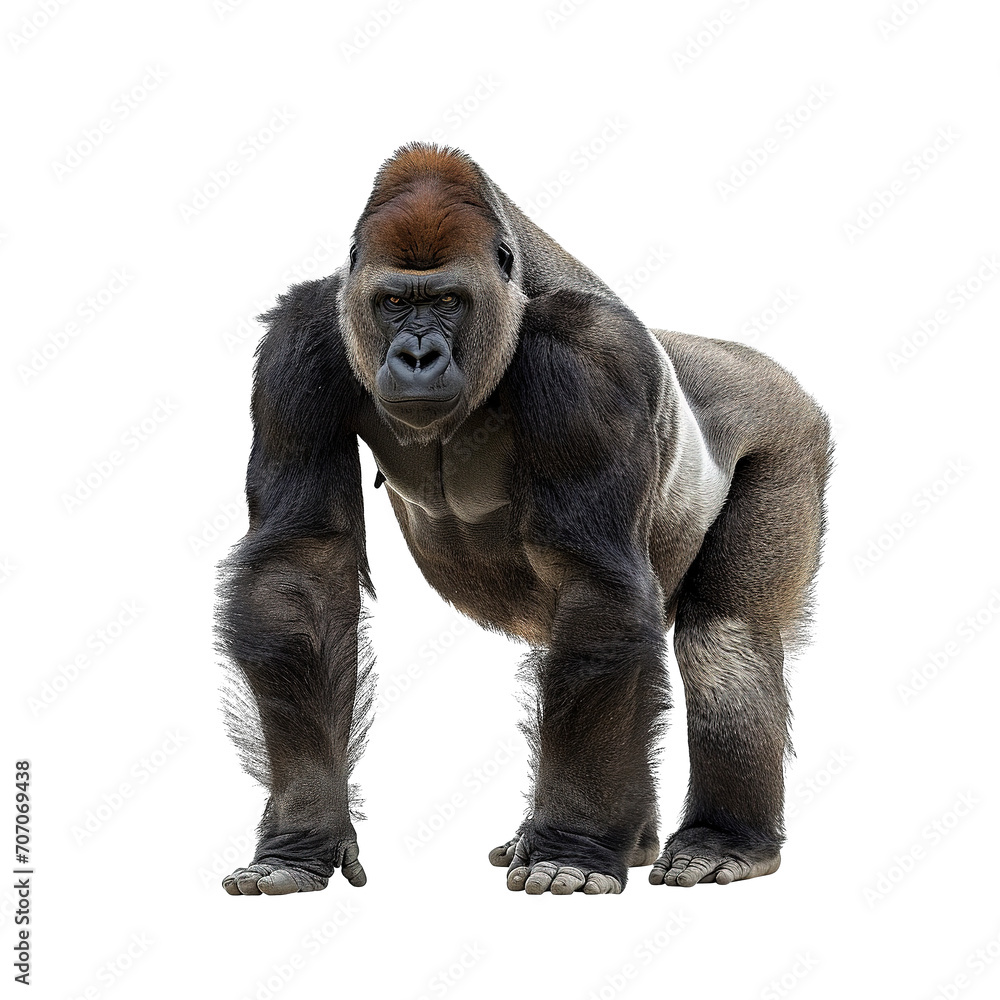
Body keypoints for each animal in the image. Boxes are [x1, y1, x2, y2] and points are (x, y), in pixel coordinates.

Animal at [216, 142, 831, 896]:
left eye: (448, 302)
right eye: (395, 303)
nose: (417, 356)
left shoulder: (590, 359)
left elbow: (595, 581)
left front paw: (570, 846)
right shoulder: (300, 342)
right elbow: (300, 567)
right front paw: (303, 836)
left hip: (787, 429)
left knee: (727, 640)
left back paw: (725, 841)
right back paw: (631, 839)